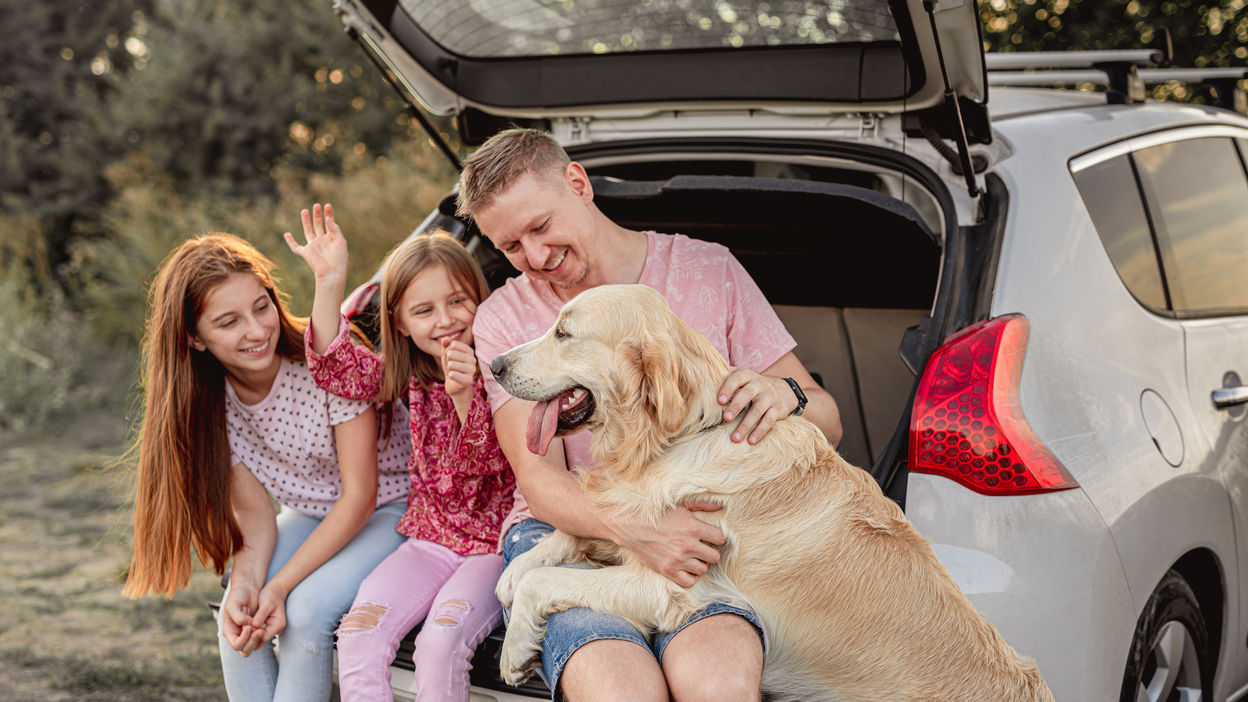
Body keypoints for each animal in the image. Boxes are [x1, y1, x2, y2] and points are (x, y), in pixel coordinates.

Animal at [486, 284, 1053, 699]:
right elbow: (567, 536)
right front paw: (514, 571)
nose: (494, 366)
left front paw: (515, 649)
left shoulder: (673, 586)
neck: (683, 435)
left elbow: (546, 581)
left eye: (564, 332)